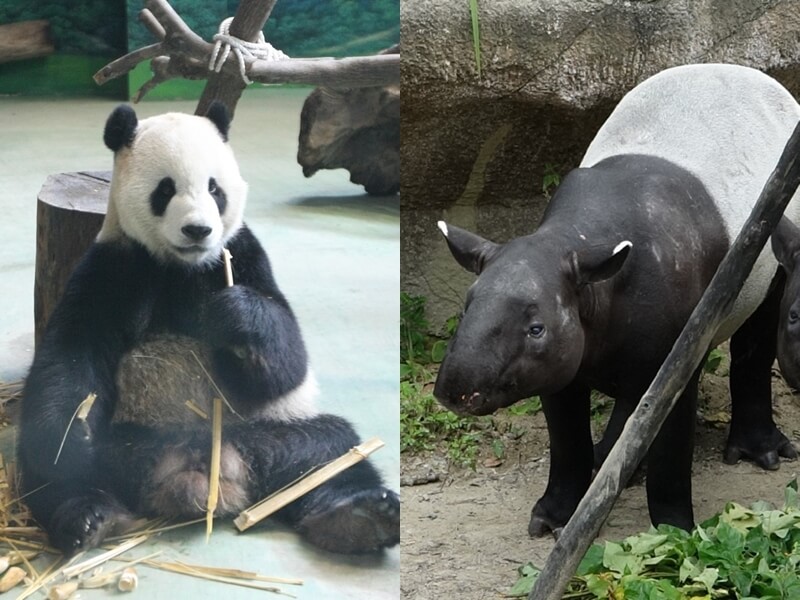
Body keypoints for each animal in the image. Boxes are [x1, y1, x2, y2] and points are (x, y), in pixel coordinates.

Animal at [20, 101, 400, 556]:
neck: (182, 265)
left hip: (279, 432)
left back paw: (360, 517)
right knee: (56, 473)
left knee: (332, 453)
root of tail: (204, 470)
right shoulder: (115, 265)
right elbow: (72, 354)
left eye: (214, 189)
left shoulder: (240, 254)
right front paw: (72, 430)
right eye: (165, 189)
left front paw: (238, 317)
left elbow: (288, 360)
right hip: (124, 447)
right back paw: (87, 516)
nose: (198, 230)